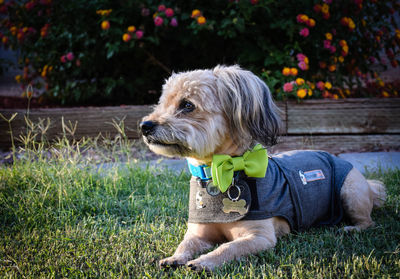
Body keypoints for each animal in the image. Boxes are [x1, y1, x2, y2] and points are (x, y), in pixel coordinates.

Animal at [139, 65, 386, 272]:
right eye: (162, 103)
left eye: (187, 105)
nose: (145, 126)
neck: (219, 172)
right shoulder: (198, 233)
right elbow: (185, 244)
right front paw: (175, 257)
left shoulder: (259, 238)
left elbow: (228, 248)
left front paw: (204, 262)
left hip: (350, 192)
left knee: (369, 222)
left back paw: (351, 229)